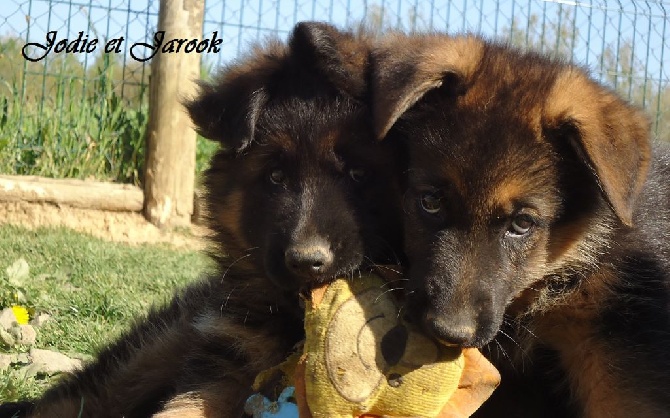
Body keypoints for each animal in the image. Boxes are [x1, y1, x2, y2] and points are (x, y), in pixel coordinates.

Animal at [1, 22, 404, 418]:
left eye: (358, 174)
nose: (307, 261)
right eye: (275, 177)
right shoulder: (224, 358)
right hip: (159, 347)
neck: (295, 318)